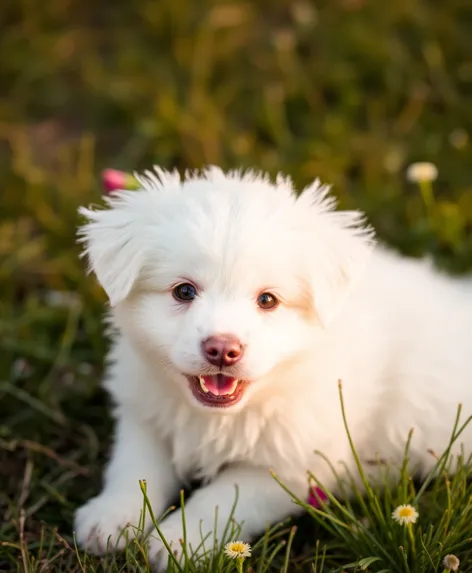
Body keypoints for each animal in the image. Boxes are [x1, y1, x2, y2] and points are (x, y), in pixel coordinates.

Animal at [74, 165, 472, 568]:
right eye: (184, 292)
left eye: (268, 300)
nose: (222, 349)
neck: (221, 419)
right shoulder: (144, 411)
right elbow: (135, 466)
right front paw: (111, 518)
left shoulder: (296, 469)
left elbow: (225, 496)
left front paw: (178, 541)